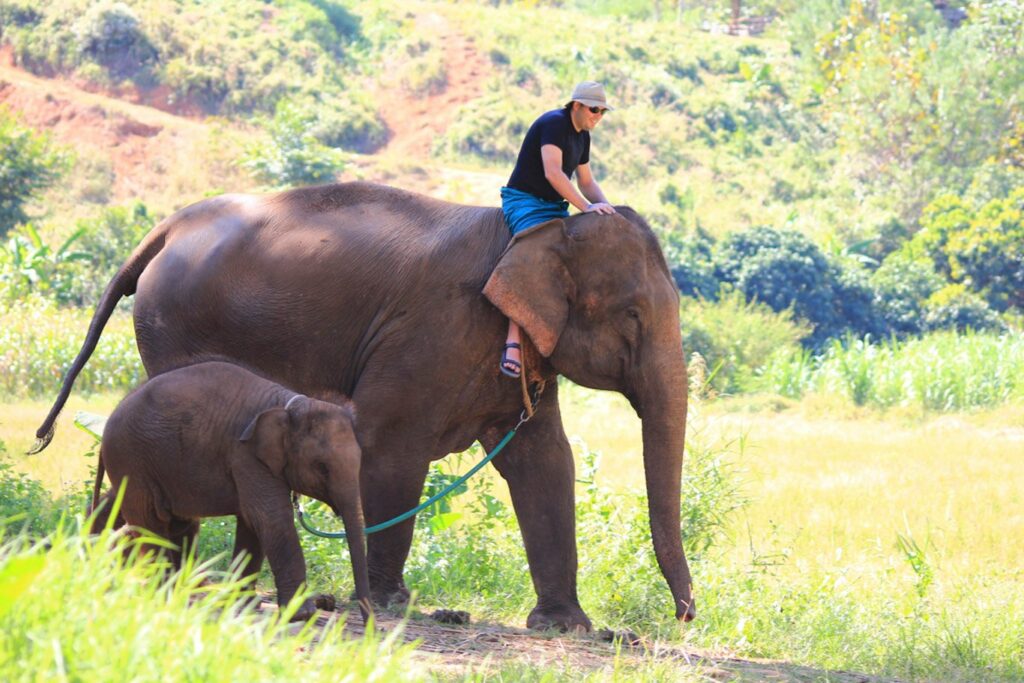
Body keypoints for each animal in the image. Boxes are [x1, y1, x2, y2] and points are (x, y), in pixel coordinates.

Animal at [89, 360, 371, 623]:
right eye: (322, 467)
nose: (371, 624)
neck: (289, 404)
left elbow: (251, 523)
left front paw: (244, 604)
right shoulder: (246, 455)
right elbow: (271, 519)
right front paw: (301, 615)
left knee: (169, 520)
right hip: (131, 460)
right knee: (152, 521)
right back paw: (163, 594)